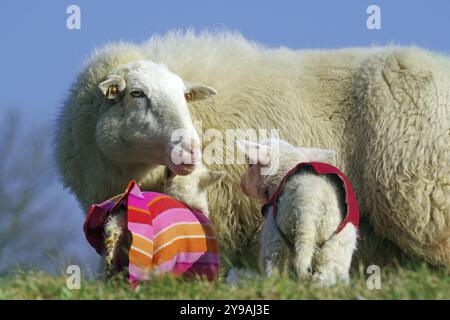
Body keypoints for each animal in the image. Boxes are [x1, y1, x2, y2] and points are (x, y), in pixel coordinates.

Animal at [236, 138, 358, 284]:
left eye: (250, 164)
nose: (242, 185)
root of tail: (310, 201)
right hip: (339, 241)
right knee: (326, 274)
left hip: (278, 231)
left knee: (275, 263)